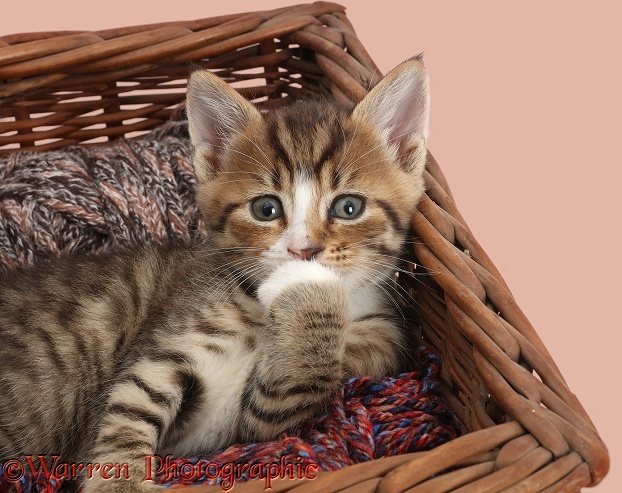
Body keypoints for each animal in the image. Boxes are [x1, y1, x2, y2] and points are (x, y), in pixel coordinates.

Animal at [0, 55, 428, 490]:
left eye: (348, 207)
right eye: (266, 209)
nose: (302, 250)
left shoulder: (264, 414)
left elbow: (288, 392)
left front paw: (305, 288)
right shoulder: (163, 352)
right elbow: (129, 408)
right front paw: (122, 481)